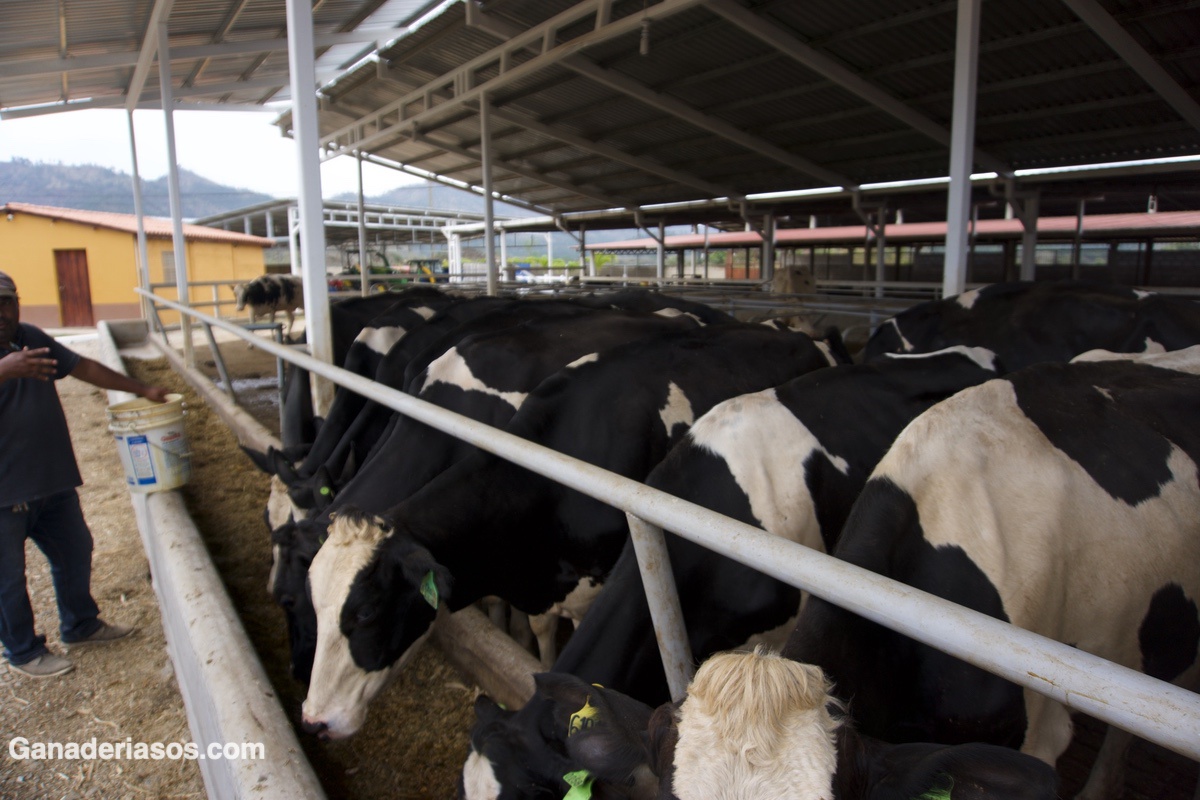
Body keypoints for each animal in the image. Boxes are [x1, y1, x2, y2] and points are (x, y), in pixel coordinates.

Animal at [300, 323, 844, 738]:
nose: (314, 720)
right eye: (313, 604)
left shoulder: (589, 585)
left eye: (365, 613)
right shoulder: (535, 576)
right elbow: (537, 632)